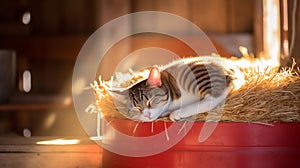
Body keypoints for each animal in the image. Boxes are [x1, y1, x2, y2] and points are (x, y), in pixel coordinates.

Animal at [110, 55, 244, 121]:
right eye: (136, 108)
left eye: (149, 102)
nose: (146, 115)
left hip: (197, 75)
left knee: (214, 97)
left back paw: (177, 113)